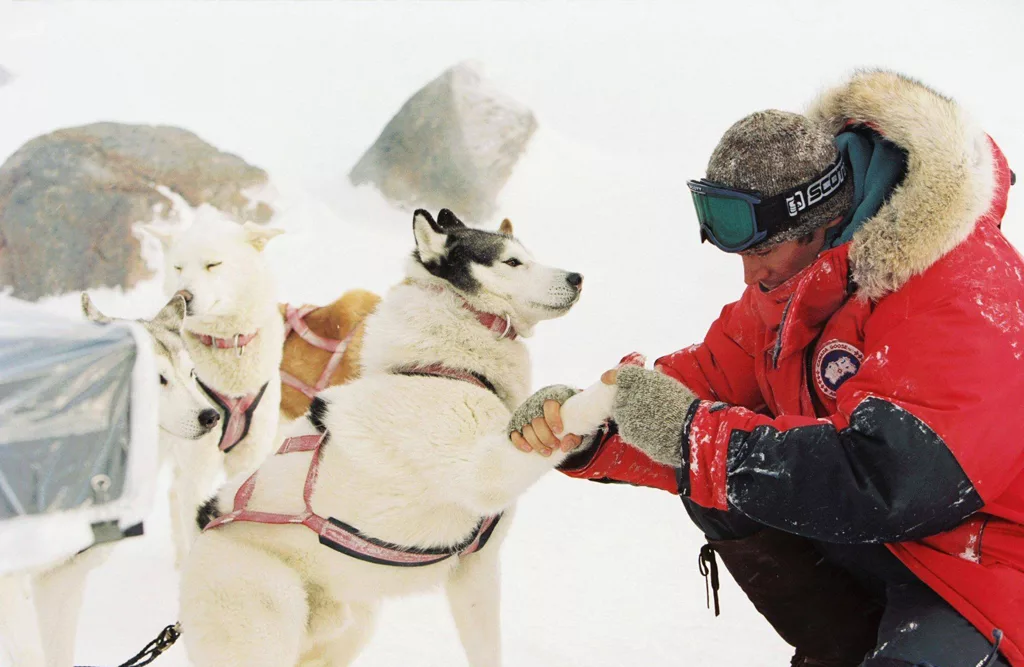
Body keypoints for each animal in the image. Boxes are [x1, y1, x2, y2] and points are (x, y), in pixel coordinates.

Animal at [178, 210, 606, 667]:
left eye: (529, 255)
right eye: (511, 261)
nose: (578, 277)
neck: (447, 368)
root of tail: (202, 532)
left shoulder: (476, 571)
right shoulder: (486, 472)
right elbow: (565, 413)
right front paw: (609, 391)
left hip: (349, 629)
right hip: (268, 620)